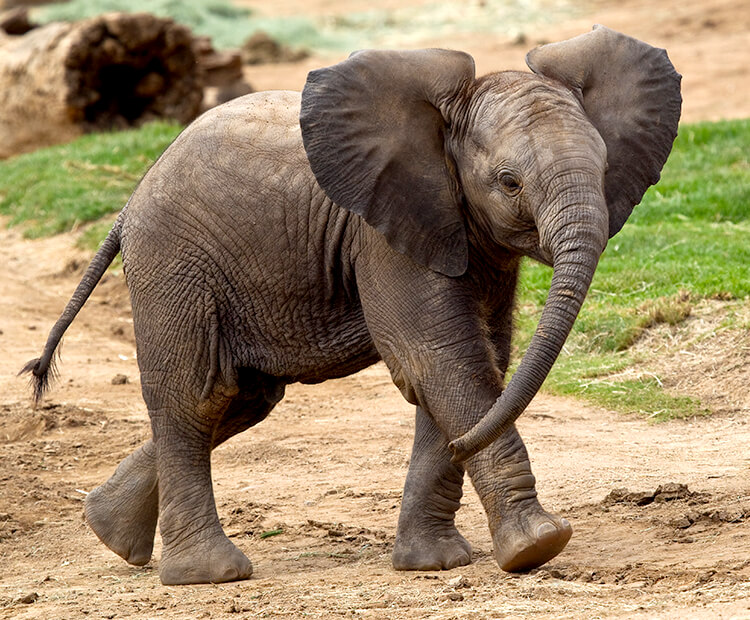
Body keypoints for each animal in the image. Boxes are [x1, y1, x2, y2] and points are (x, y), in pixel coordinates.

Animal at [22, 25, 680, 588]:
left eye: (604, 167)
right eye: (510, 182)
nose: (466, 446)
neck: (444, 127)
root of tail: (130, 201)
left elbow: (472, 365)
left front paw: (434, 563)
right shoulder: (384, 234)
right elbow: (441, 360)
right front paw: (537, 548)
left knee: (241, 397)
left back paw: (107, 530)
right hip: (174, 263)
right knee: (196, 394)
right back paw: (209, 575)